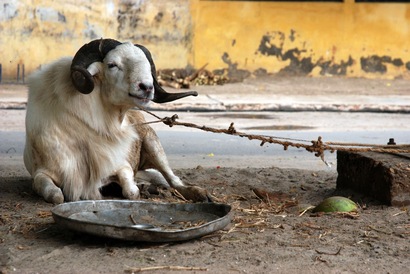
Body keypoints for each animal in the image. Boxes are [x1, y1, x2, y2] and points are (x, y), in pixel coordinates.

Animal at [23, 38, 208, 204]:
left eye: (148, 67)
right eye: (112, 65)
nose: (147, 87)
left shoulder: (121, 165)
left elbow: (131, 191)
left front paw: (133, 189)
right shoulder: (42, 173)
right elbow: (56, 196)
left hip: (154, 146)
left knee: (173, 179)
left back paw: (199, 194)